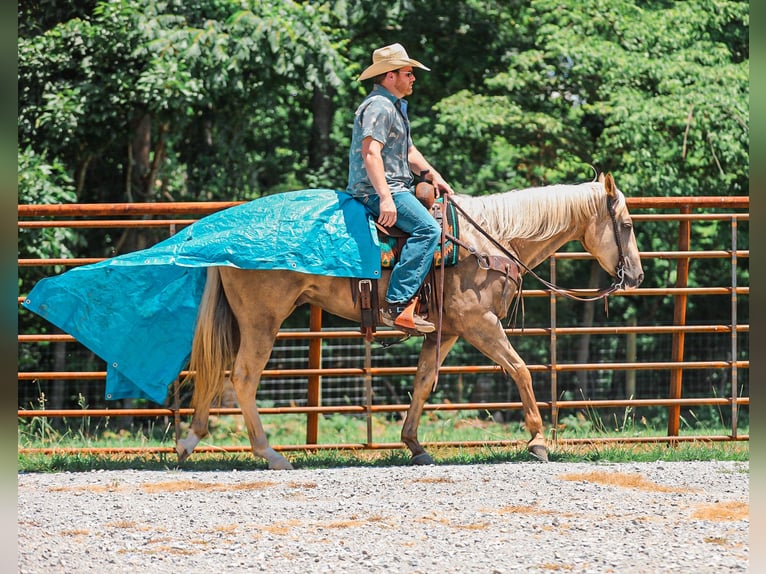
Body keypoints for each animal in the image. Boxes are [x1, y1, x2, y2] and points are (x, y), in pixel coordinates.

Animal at [175, 173, 643, 469]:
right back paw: (270, 455)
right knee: (243, 377)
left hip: (246, 322)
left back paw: (189, 441)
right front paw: (538, 441)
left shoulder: (447, 330)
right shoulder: (480, 323)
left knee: (219, 373)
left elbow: (422, 381)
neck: (488, 240)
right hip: (263, 320)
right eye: (625, 224)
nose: (637, 277)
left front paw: (414, 445)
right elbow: (520, 369)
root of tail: (217, 237)